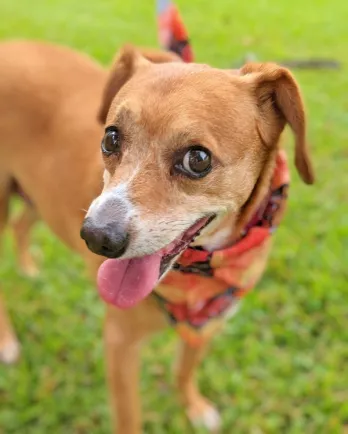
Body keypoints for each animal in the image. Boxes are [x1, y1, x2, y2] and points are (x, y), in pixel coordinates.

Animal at [0, 39, 314, 432]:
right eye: (111, 138)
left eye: (198, 159)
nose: (97, 238)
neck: (200, 273)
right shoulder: (120, 343)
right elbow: (129, 417)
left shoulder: (208, 324)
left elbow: (184, 370)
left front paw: (193, 407)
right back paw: (7, 341)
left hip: (39, 195)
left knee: (21, 225)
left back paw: (28, 269)